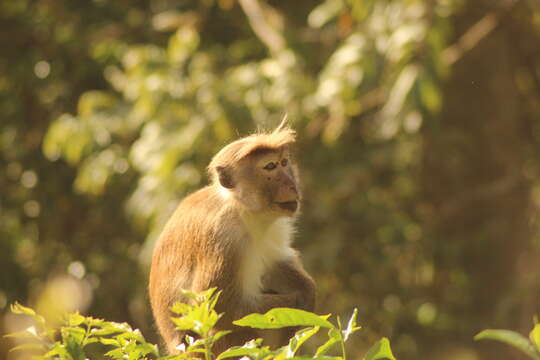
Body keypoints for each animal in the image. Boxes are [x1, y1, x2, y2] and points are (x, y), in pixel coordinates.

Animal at [148, 123, 316, 354]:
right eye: (270, 166)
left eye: (284, 162)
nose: (292, 184)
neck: (244, 210)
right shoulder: (224, 235)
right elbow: (220, 310)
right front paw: (299, 301)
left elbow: (276, 265)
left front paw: (307, 290)